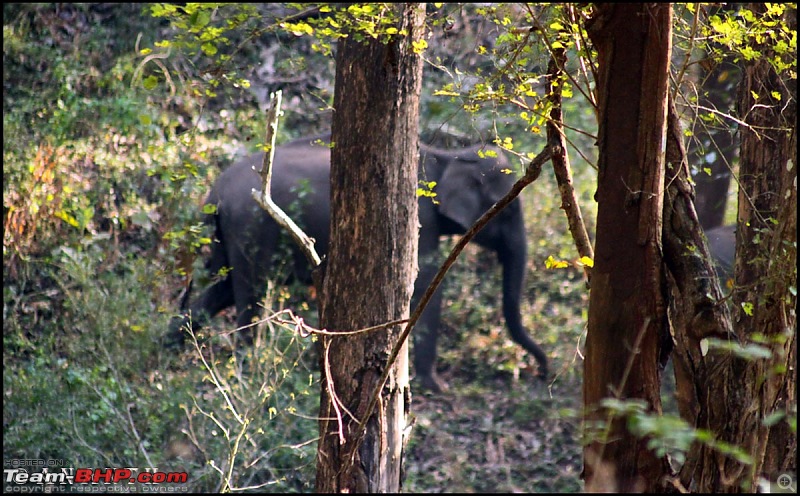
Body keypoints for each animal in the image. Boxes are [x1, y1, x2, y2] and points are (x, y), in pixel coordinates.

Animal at [168, 135, 544, 392]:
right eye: (508, 209)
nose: (544, 371)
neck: (448, 154)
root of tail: (213, 194)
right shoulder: (418, 218)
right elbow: (425, 288)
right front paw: (435, 386)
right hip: (250, 228)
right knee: (249, 294)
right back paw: (246, 367)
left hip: (225, 233)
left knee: (221, 290)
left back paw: (168, 350)